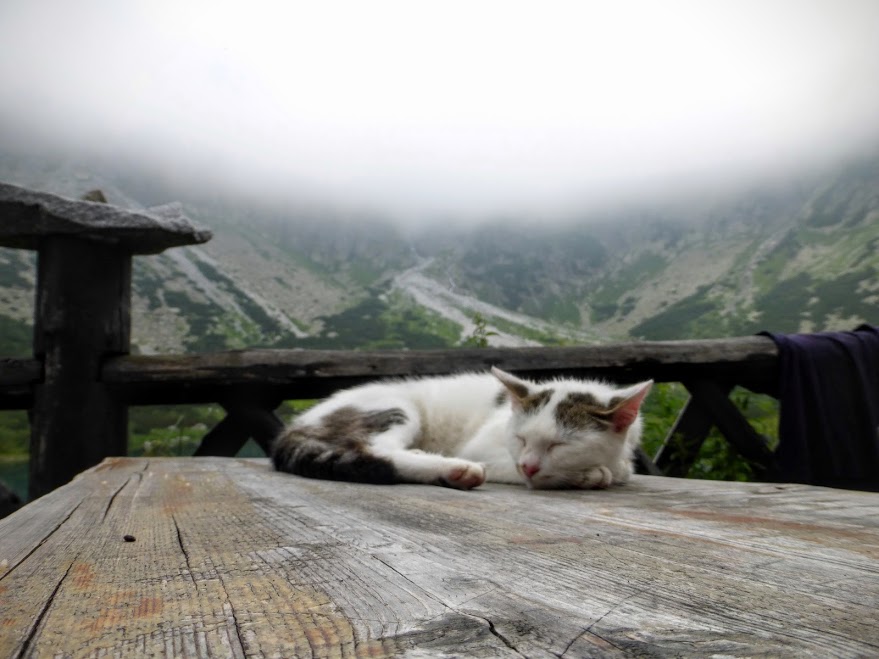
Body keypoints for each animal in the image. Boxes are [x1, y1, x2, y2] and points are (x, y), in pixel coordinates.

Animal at [272, 367, 652, 490]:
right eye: (520, 438)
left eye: (561, 445)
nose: (528, 465)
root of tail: (296, 426)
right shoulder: (484, 447)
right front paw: (589, 474)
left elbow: (624, 470)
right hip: (397, 408)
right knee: (372, 449)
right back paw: (455, 468)